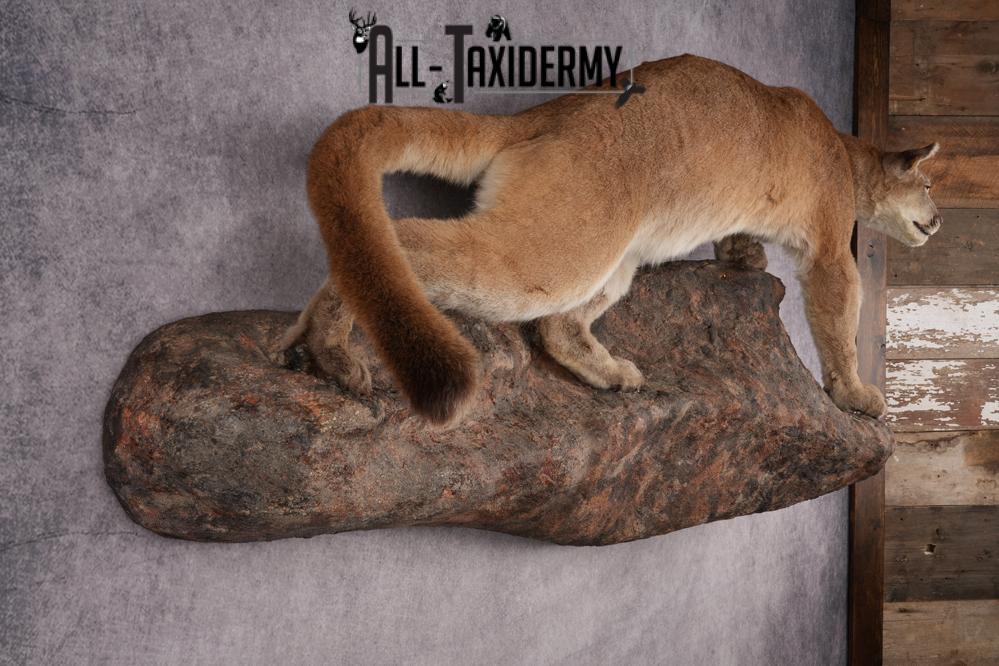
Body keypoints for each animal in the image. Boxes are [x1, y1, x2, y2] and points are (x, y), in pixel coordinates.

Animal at [275, 54, 941, 425]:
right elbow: (839, 322)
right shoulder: (830, 250)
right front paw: (857, 394)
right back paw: (328, 347)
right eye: (932, 183)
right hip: (560, 250)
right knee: (407, 242)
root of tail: (546, 112)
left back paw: (614, 374)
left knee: (557, 325)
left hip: (616, 260)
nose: (938, 220)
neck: (845, 150)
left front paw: (743, 253)